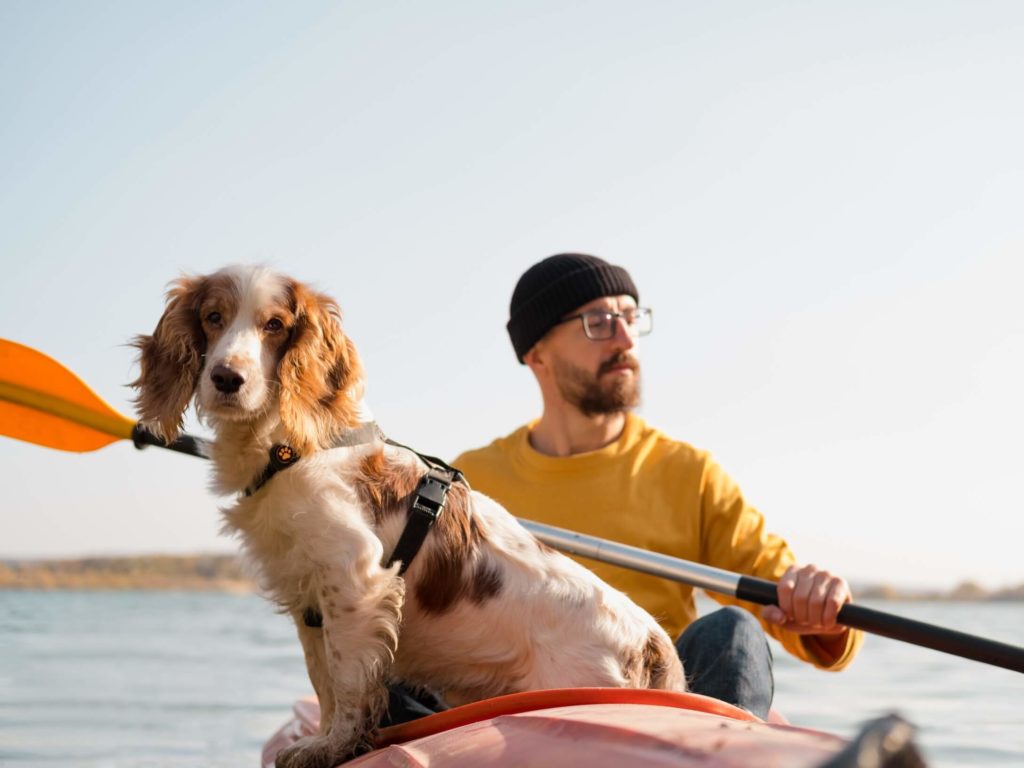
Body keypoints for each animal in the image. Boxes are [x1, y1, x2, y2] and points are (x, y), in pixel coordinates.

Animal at [132, 266, 684, 768]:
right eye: (213, 317)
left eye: (274, 325)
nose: (227, 378)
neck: (291, 444)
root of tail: (651, 641)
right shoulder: (309, 596)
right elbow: (323, 680)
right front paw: (324, 740)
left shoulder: (354, 577)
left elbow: (346, 680)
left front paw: (333, 746)